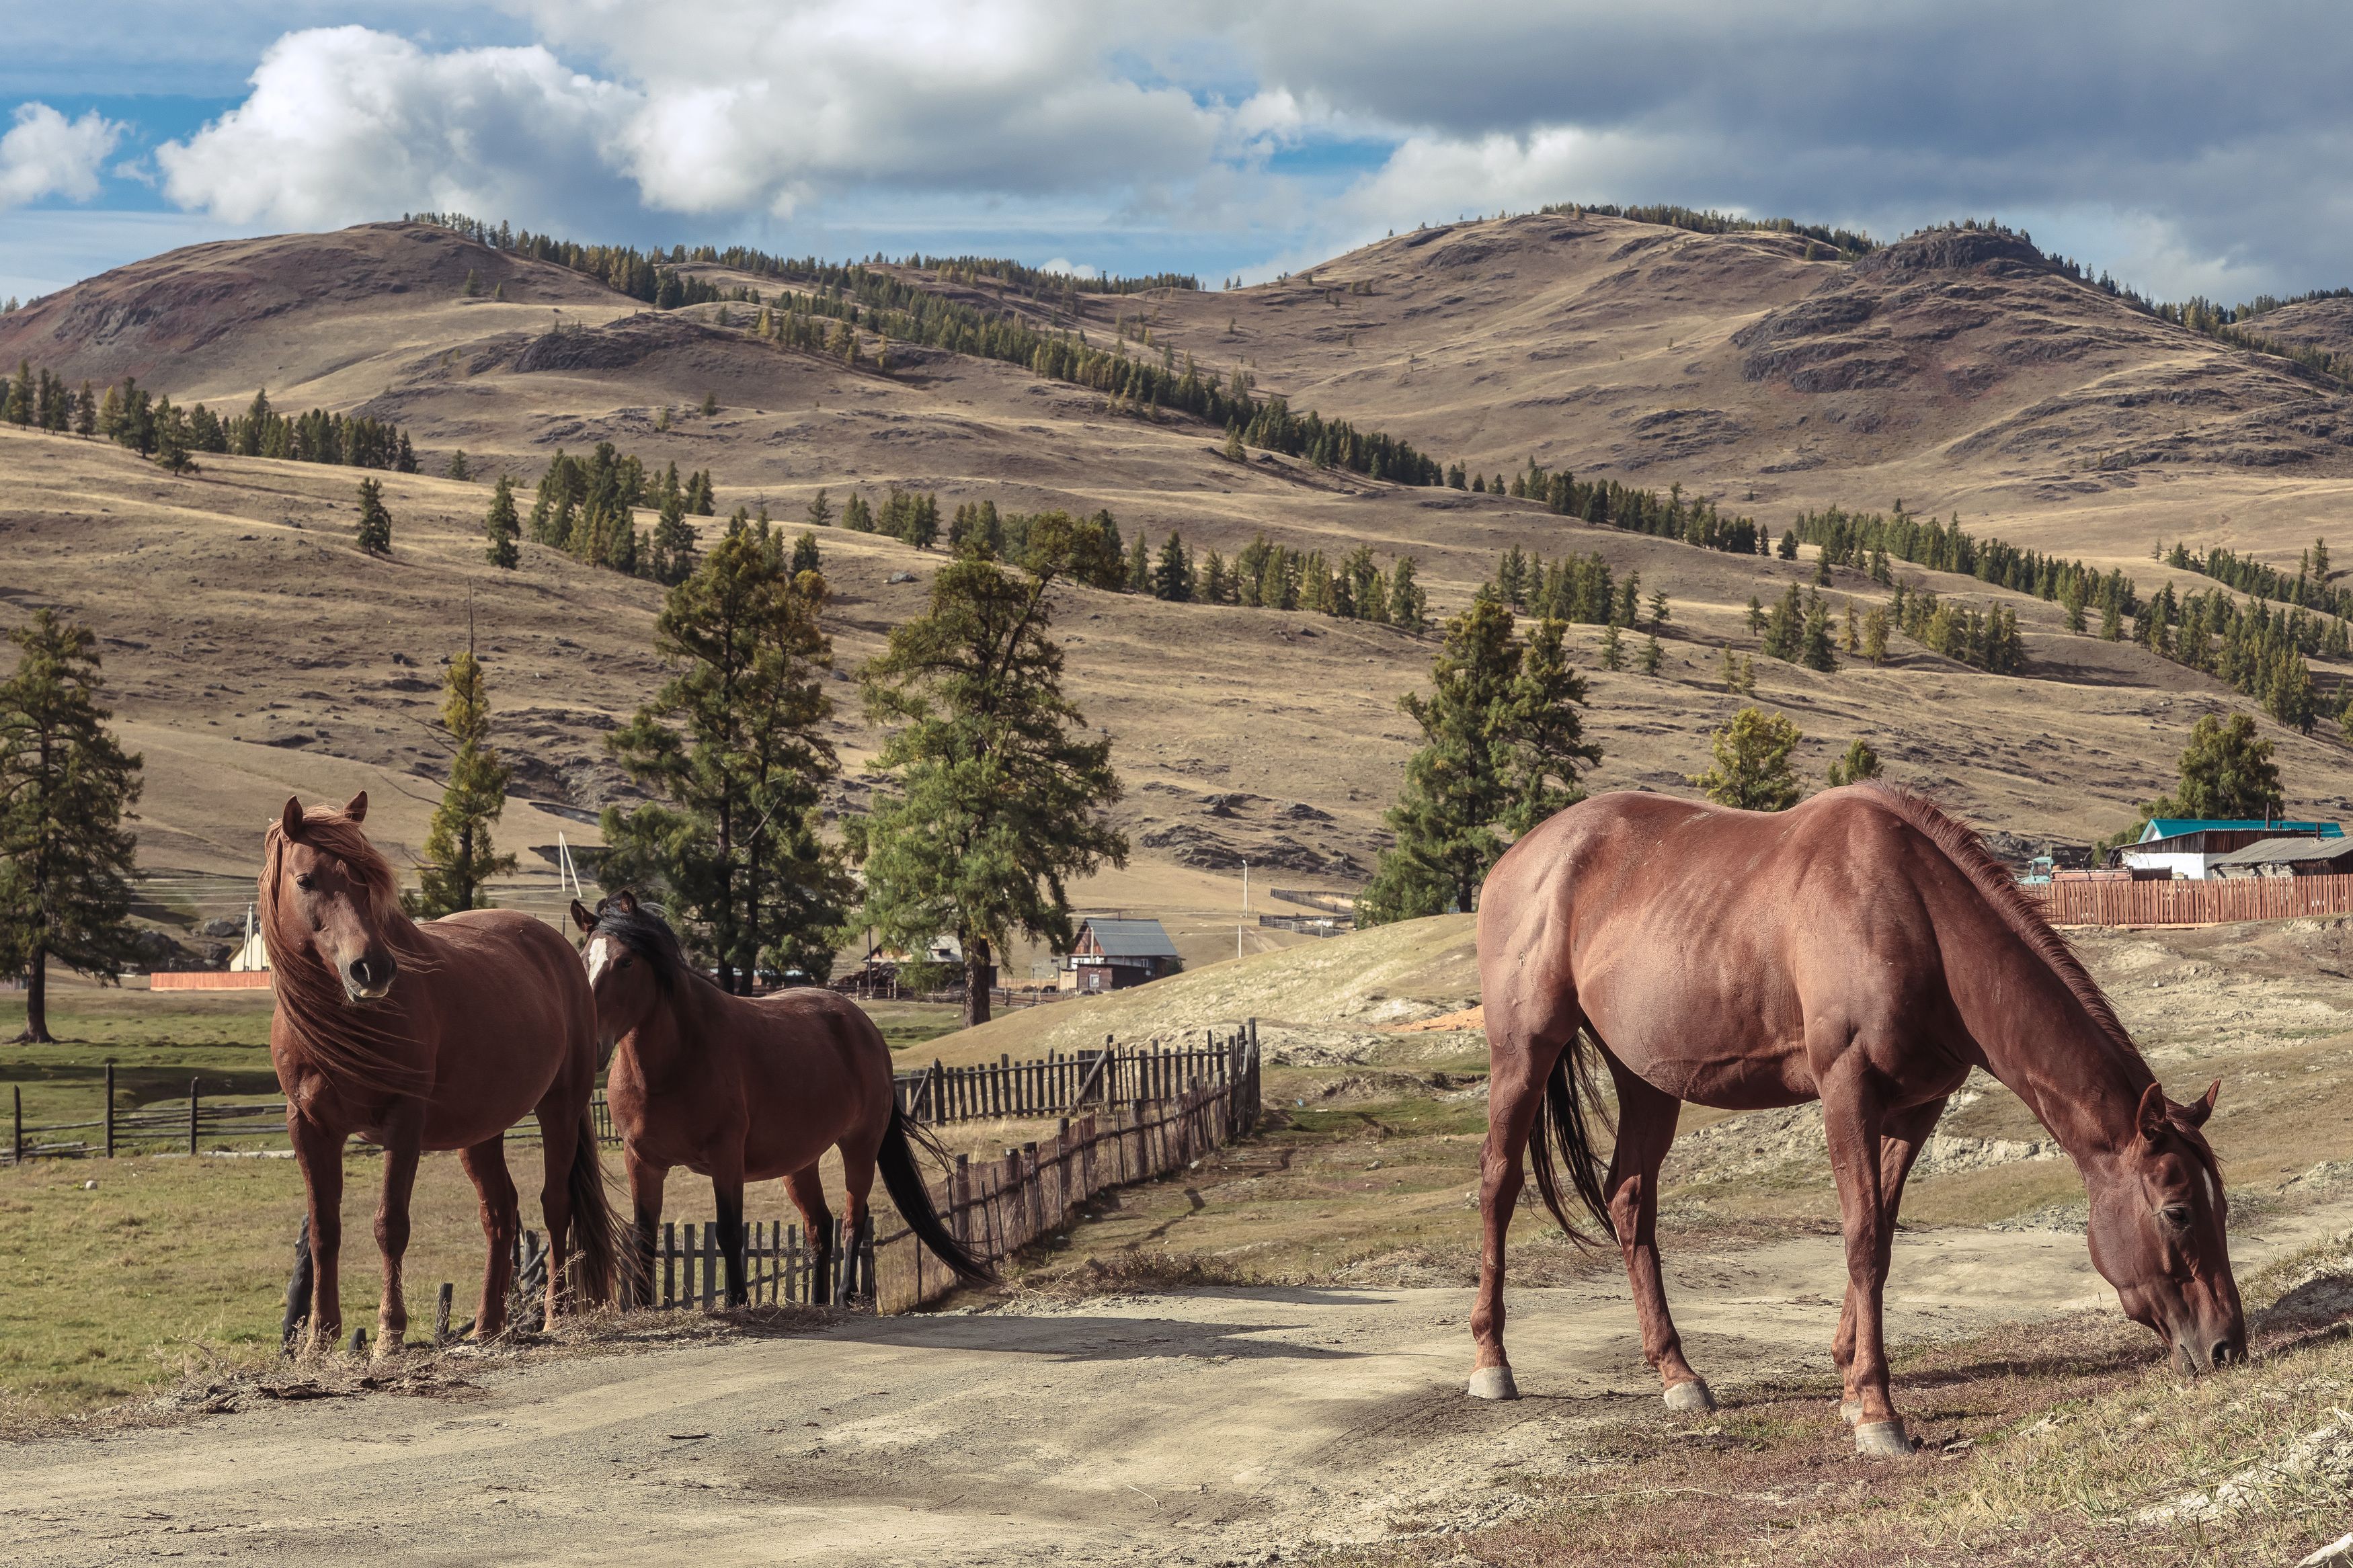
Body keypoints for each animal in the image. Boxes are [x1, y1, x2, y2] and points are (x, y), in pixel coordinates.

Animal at [264, 790, 616, 1354]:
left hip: (560, 1107)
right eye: (306, 880)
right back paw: (489, 1323)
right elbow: (323, 1229)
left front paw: (389, 1334)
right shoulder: (309, 1125)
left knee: (554, 1202)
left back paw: (555, 1315)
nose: (373, 969)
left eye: (367, 878)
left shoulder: (404, 1122)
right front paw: (319, 1340)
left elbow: (390, 1224)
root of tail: (557, 946)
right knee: (500, 1211)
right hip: (482, 1130)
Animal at [579, 893, 1002, 1316]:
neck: (673, 1062)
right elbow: (643, 1237)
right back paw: (818, 1302)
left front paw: (738, 1301)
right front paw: (639, 1307)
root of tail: (864, 1027)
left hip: (860, 1145)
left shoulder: (726, 1156)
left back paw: (843, 1296)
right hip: (800, 1163)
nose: (593, 1042)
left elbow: (730, 1232)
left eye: (626, 961)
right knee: (820, 1226)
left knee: (853, 1219)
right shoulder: (641, 1161)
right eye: (584, 958)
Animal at [1468, 785, 2240, 1457]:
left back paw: (1677, 1373)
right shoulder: (1846, 1088)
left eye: (2219, 1206)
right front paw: (1876, 1410)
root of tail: (1520, 857)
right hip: (1523, 1053)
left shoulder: (1915, 1107)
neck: (1916, 917)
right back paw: (1491, 1362)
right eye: (2176, 1210)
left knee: (1629, 1200)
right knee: (1498, 1185)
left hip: (1647, 1080)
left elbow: (1883, 1232)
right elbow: (1862, 1237)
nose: (2227, 1344)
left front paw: (1846, 1378)